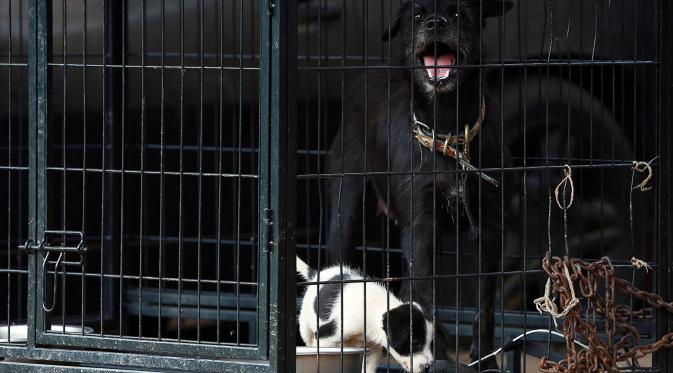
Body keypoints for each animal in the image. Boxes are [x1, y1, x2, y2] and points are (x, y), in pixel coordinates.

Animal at [296, 256, 434, 372]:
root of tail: (316, 275)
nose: (428, 367)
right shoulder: (327, 337)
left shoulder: (373, 349)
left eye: (430, 343)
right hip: (305, 328)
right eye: (415, 343)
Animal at [324, 0, 510, 366]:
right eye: (418, 16)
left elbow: (485, 304)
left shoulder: (490, 230)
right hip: (343, 211)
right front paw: (437, 357)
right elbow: (429, 298)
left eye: (459, 14)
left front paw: (484, 359)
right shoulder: (421, 227)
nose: (435, 24)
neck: (449, 128)